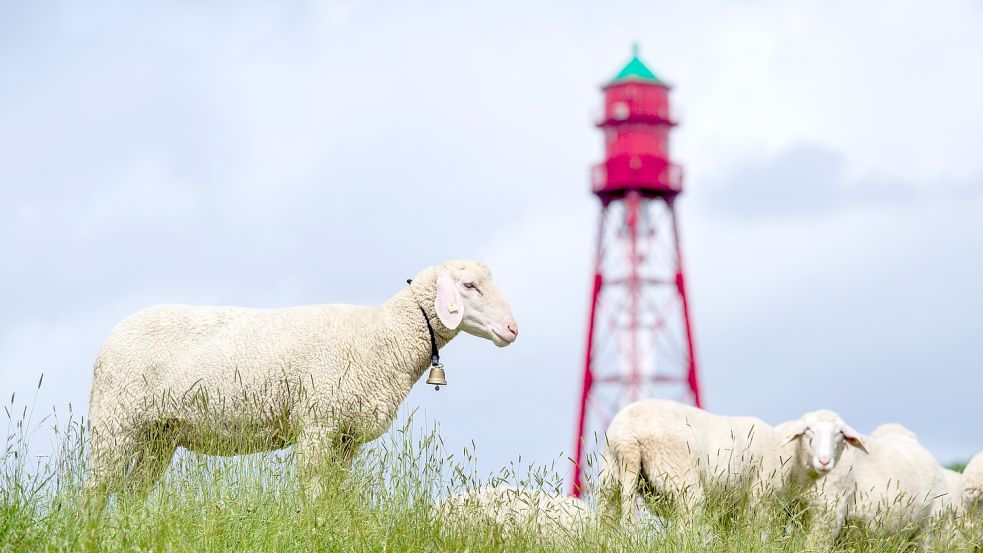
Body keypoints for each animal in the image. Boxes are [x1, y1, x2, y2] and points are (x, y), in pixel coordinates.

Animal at [82, 260, 524, 498]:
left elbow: (332, 493)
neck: (380, 337)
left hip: (157, 434)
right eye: (469, 285)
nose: (512, 329)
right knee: (95, 489)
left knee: (131, 492)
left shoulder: (345, 437)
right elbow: (312, 490)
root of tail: (108, 341)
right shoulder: (317, 423)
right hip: (115, 422)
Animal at [596, 398, 864, 524]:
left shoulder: (730, 510)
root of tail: (629, 437)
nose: (824, 460)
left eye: (840, 434)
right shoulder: (759, 498)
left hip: (610, 479)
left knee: (606, 521)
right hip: (681, 479)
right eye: (808, 431)